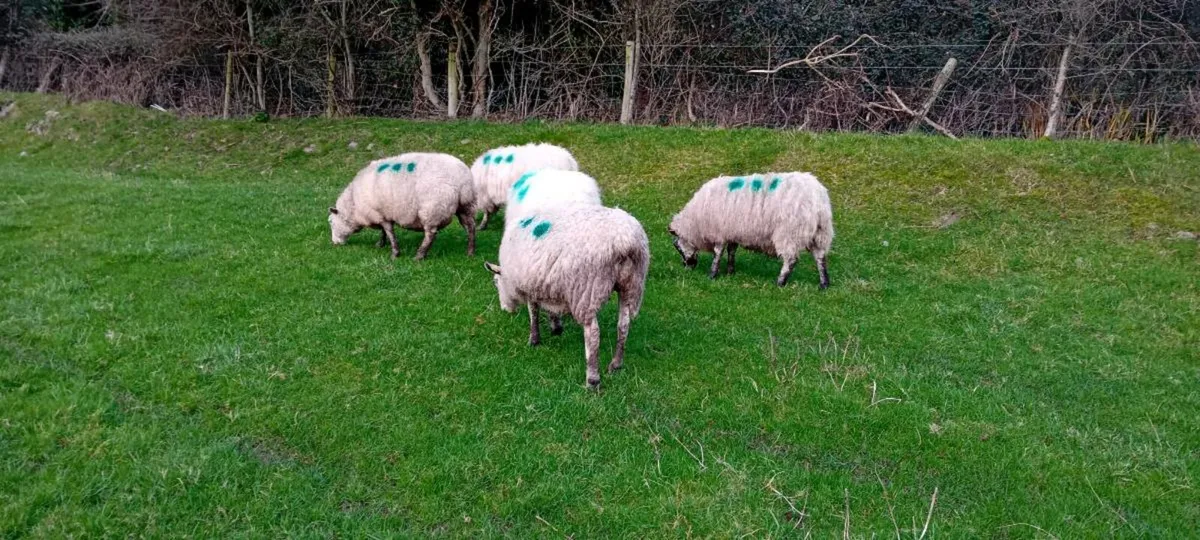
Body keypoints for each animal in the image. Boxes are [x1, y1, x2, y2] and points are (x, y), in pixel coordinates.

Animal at [328, 152, 476, 260]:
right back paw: (470, 252)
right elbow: (384, 231)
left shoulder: (378, 213)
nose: (335, 243)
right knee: (470, 227)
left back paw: (419, 256)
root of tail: (461, 179)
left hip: (433, 208)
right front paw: (381, 244)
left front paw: (395, 253)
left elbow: (389, 232)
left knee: (431, 234)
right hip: (466, 205)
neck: (353, 204)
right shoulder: (384, 213)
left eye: (331, 222)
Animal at [484, 204, 649, 389]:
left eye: (496, 283)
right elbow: (550, 308)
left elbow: (533, 311)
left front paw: (534, 340)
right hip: (632, 285)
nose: (505, 309)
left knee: (593, 334)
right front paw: (556, 327)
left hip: (586, 290)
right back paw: (616, 365)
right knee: (623, 325)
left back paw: (592, 380)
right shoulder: (548, 283)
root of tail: (624, 241)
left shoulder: (530, 286)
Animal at [668, 172, 833, 288]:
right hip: (821, 234)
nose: (687, 266)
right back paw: (824, 284)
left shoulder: (719, 232)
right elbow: (731, 251)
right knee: (820, 257)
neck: (695, 223)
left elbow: (718, 253)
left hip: (789, 233)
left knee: (791, 260)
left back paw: (780, 283)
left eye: (678, 247)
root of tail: (818, 201)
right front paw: (730, 272)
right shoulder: (732, 231)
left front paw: (712, 274)